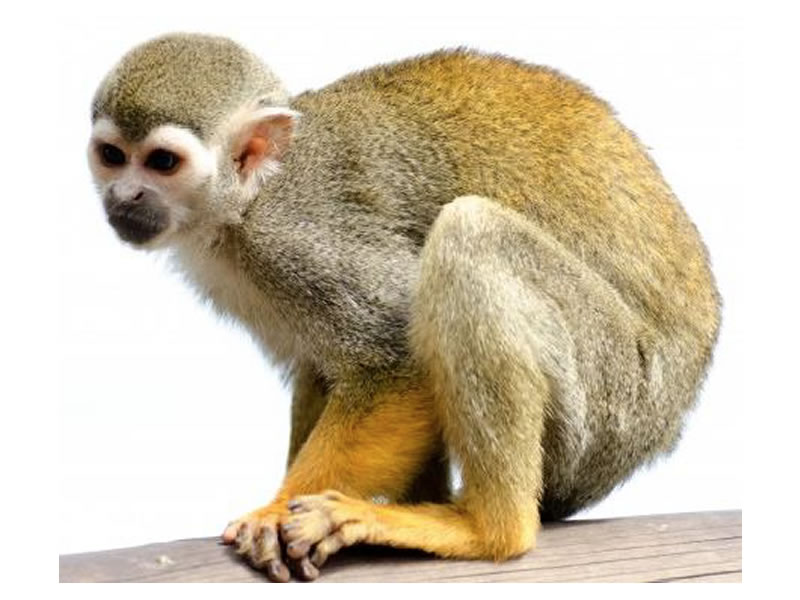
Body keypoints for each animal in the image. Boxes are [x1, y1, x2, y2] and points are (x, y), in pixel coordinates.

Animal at [87, 33, 721, 582]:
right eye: (112, 156)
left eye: (162, 163)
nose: (124, 196)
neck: (247, 200)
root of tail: (671, 415)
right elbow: (325, 368)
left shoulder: (297, 237)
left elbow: (396, 356)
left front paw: (276, 510)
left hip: (613, 395)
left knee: (469, 236)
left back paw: (487, 529)